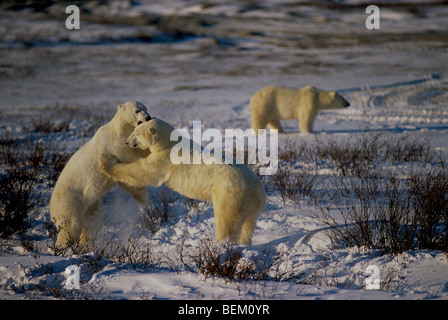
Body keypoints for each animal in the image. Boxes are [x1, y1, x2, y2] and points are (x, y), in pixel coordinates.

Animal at [49, 100, 152, 248]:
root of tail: (51, 208)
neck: (119, 129)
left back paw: (86, 244)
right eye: (137, 110)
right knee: (71, 225)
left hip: (89, 204)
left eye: (146, 108)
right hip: (69, 201)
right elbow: (131, 159)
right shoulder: (115, 145)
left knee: (92, 222)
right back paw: (63, 247)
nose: (148, 117)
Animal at [101, 117, 266, 245]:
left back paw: (222, 246)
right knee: (248, 226)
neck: (168, 143)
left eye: (136, 133)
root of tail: (259, 192)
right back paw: (244, 243)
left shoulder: (164, 160)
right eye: (134, 130)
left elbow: (143, 171)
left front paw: (107, 162)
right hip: (250, 206)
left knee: (226, 221)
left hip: (231, 194)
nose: (127, 142)